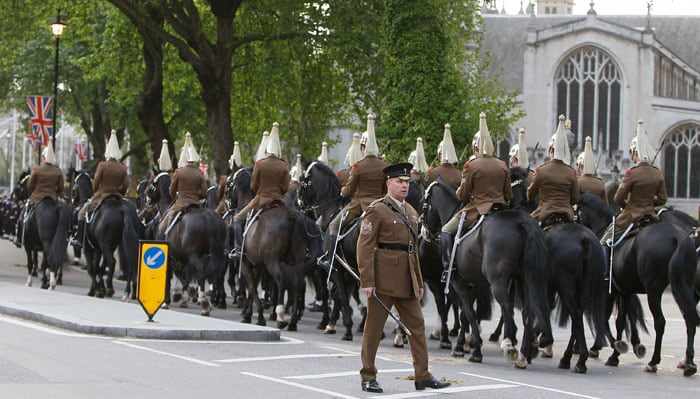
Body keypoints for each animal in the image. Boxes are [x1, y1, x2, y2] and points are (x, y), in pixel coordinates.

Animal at [576, 194, 696, 378]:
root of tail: (678, 236)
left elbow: (606, 317)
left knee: (660, 322)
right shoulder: (624, 290)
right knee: (689, 318)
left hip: (654, 290)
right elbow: (620, 320)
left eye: (576, 210)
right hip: (684, 287)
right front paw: (617, 351)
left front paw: (610, 347)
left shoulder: (610, 291)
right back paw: (688, 363)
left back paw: (653, 362)